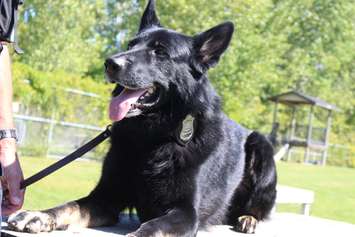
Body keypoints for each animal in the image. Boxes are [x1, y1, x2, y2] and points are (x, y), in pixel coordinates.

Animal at [6, 0, 276, 236]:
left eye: (160, 52)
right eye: (130, 44)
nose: (110, 63)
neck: (152, 136)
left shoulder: (186, 212)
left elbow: (153, 227)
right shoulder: (105, 198)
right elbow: (69, 206)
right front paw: (40, 215)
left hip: (261, 147)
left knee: (258, 209)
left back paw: (248, 219)